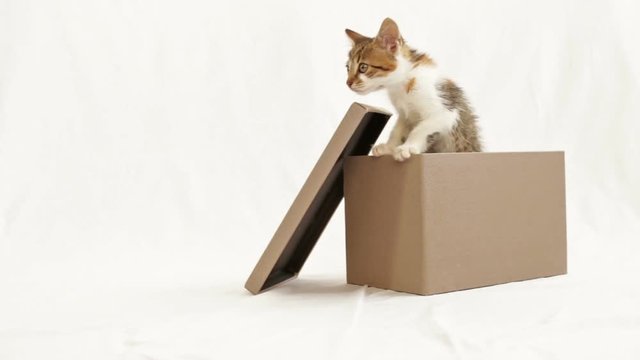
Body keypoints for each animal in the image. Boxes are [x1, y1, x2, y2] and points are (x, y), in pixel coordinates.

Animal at [344, 17, 480, 161]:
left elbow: (421, 128)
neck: (402, 84)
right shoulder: (404, 114)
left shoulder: (445, 111)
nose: (348, 83)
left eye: (363, 67)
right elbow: (397, 130)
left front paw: (407, 147)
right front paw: (388, 148)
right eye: (348, 68)